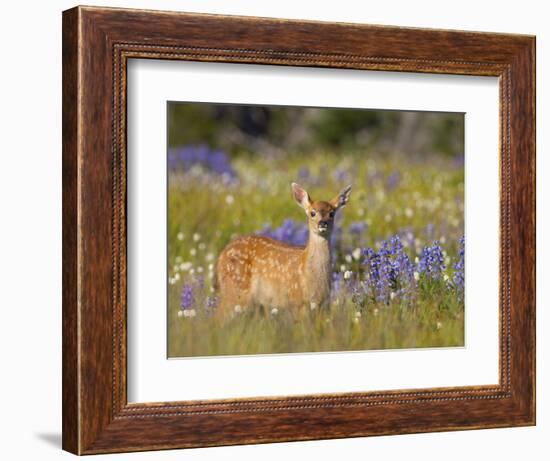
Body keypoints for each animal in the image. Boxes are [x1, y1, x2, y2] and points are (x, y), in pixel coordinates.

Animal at [216, 182, 354, 316]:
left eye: (332, 213)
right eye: (312, 213)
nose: (322, 223)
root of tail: (221, 255)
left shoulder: (324, 305)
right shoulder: (297, 301)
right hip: (234, 290)